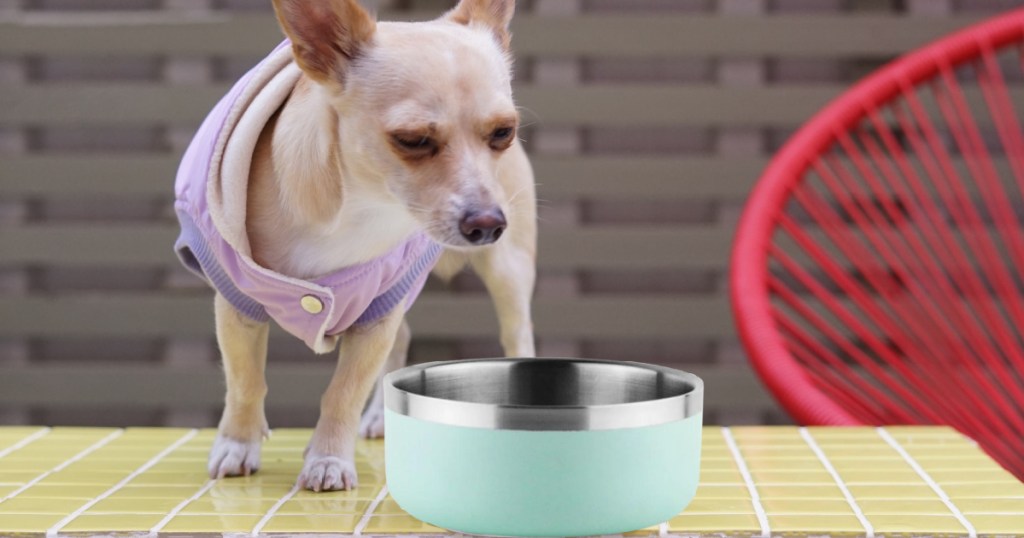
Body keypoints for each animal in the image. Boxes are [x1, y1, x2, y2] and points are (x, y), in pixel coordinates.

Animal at [169, 0, 536, 489]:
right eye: (413, 140)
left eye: (503, 133)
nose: (487, 223)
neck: (358, 208)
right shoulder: (238, 307)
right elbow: (245, 380)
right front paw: (237, 445)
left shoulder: (375, 314)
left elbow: (342, 392)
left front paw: (327, 458)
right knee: (403, 340)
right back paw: (383, 415)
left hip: (506, 270)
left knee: (515, 333)